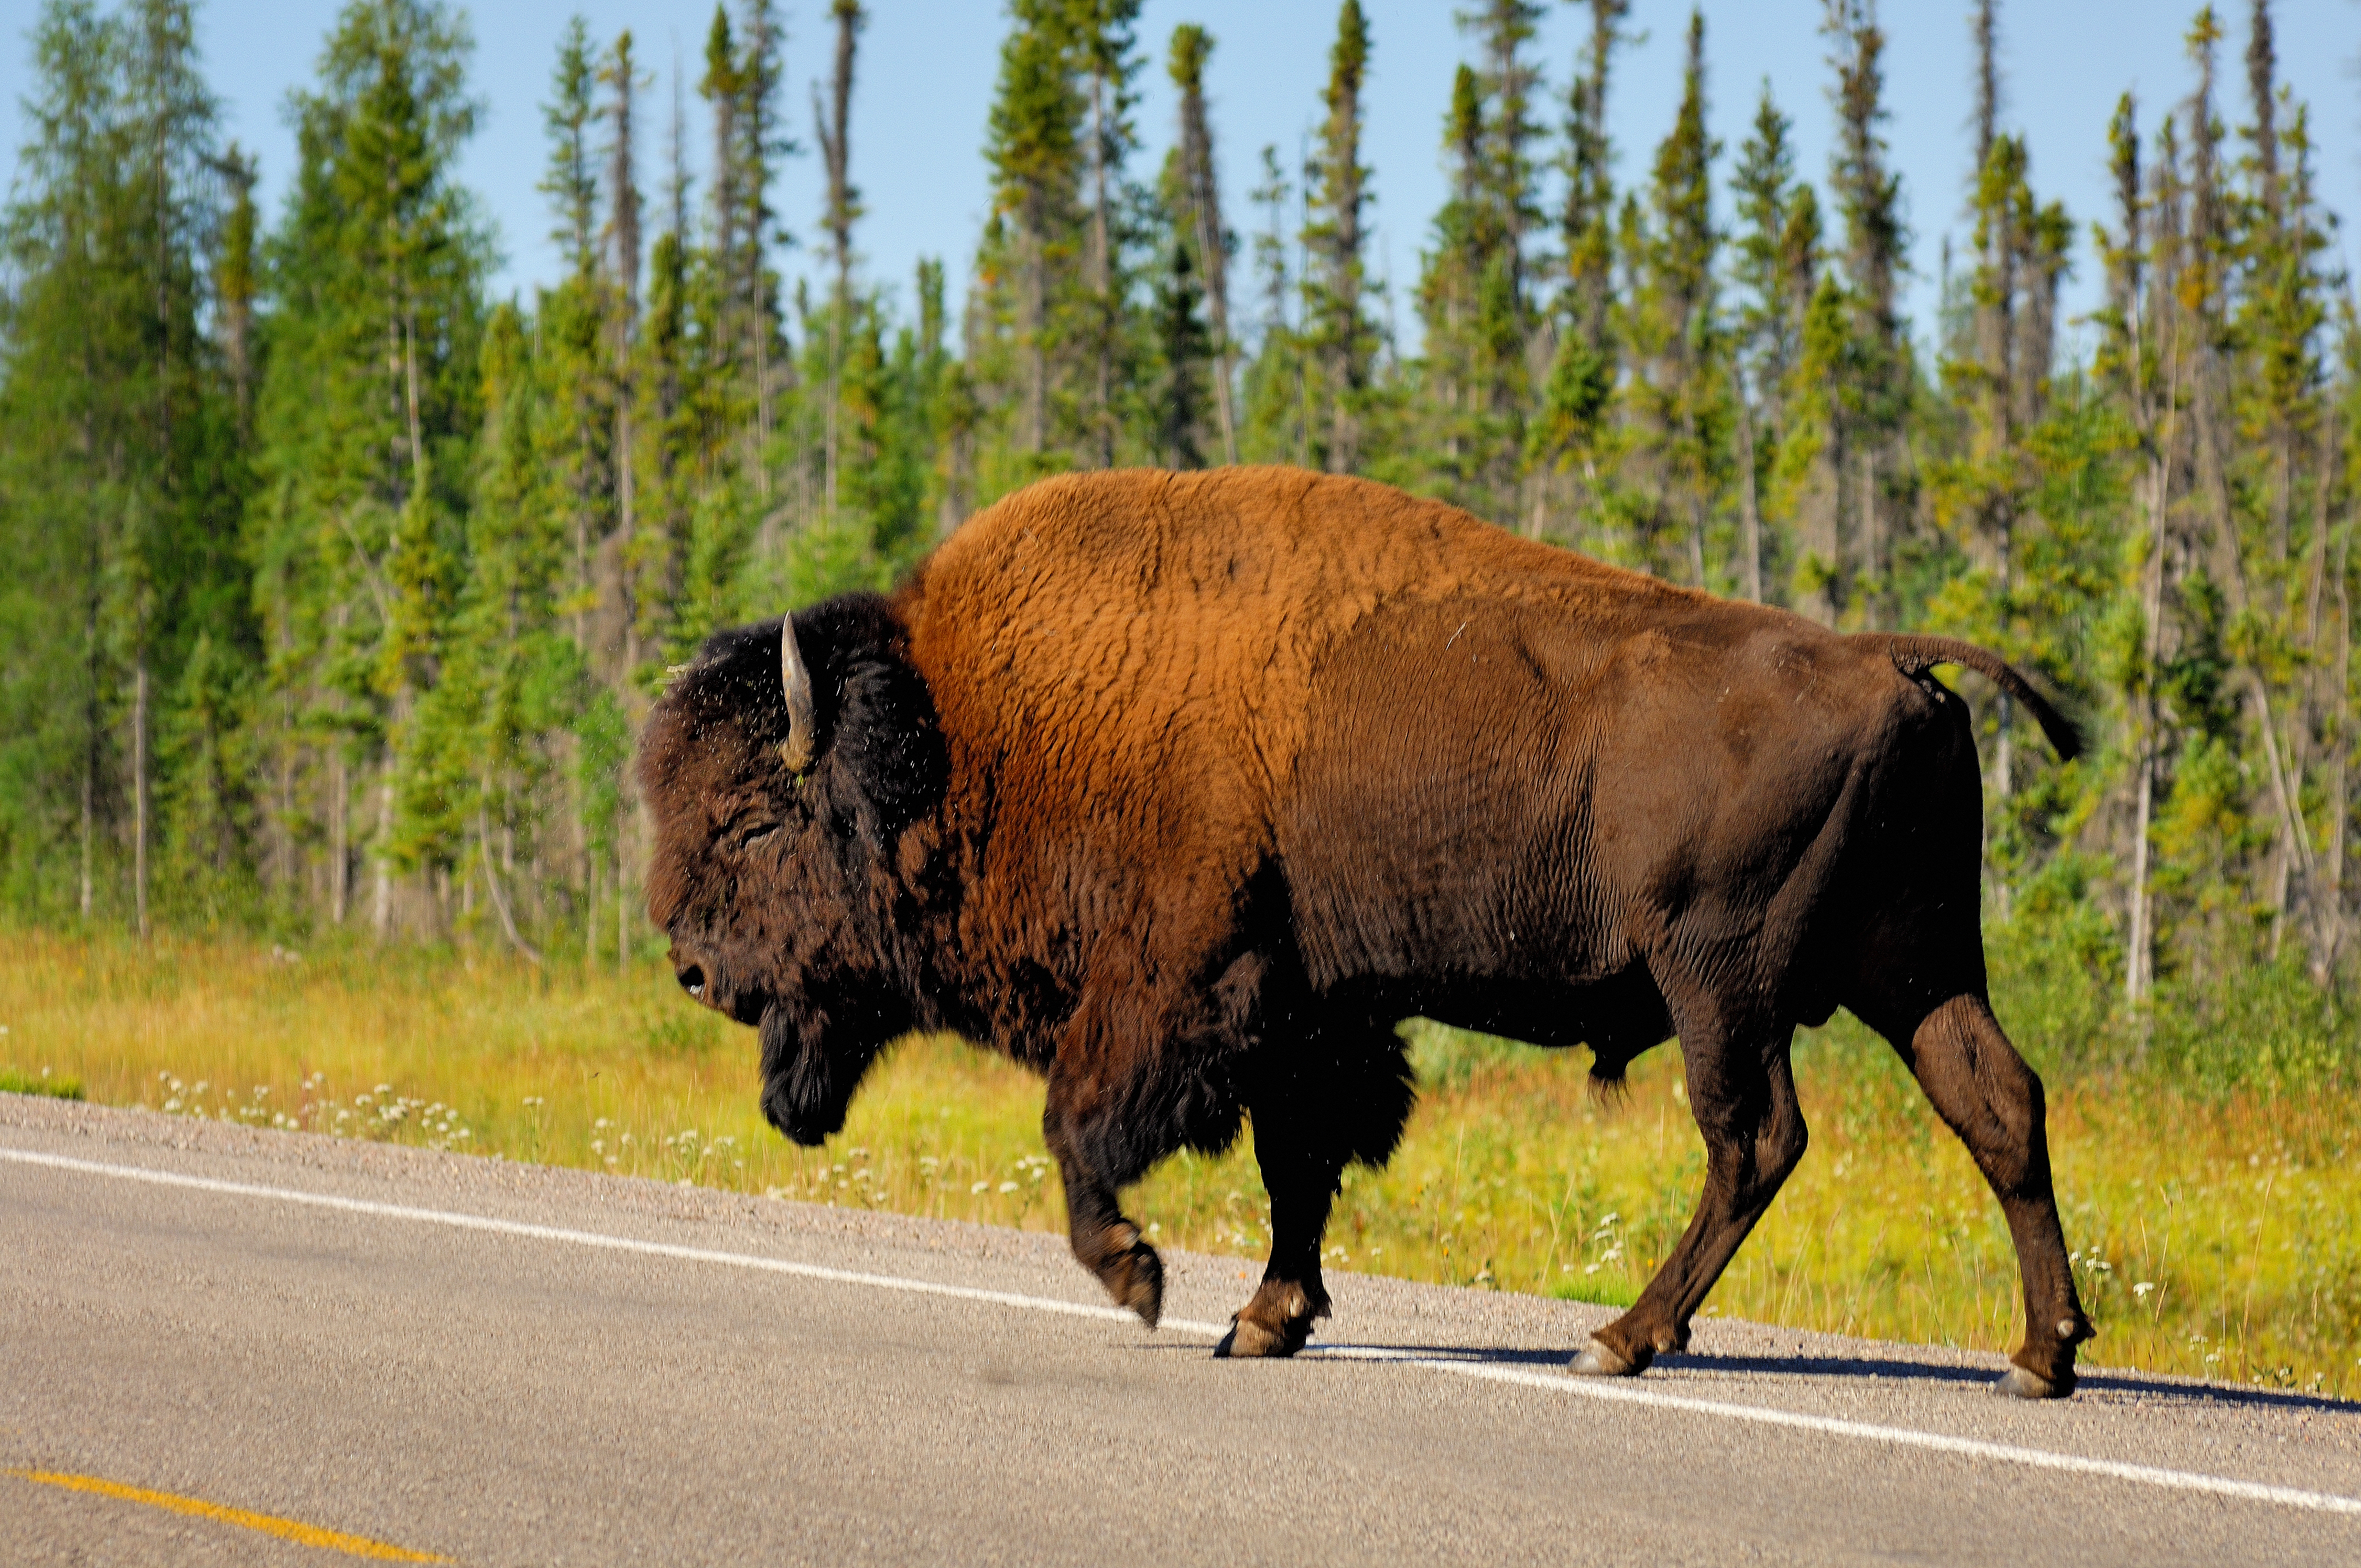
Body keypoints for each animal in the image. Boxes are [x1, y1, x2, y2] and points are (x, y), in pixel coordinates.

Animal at [640, 467, 2095, 1397]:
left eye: (754, 822)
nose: (692, 965)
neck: (964, 730)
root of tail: (1884, 656)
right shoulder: (1308, 1013)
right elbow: (1299, 1164)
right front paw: (1263, 1318)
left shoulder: (1175, 986)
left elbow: (1086, 1129)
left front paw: (1143, 1277)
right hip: (1914, 967)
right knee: (1995, 1103)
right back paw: (2041, 1355)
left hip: (1719, 981)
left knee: (1753, 1138)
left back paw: (1620, 1335)